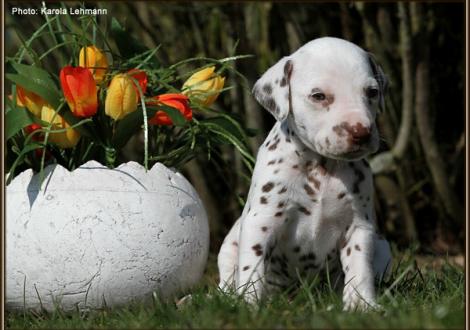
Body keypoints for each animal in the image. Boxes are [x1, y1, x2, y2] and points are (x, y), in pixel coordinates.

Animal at [218, 37, 392, 310]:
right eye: (318, 96)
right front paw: (248, 305)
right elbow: (251, 268)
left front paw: (362, 304)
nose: (361, 132)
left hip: (383, 247)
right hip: (228, 246)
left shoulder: (359, 227)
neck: (321, 167)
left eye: (372, 92)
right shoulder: (261, 221)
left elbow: (359, 269)